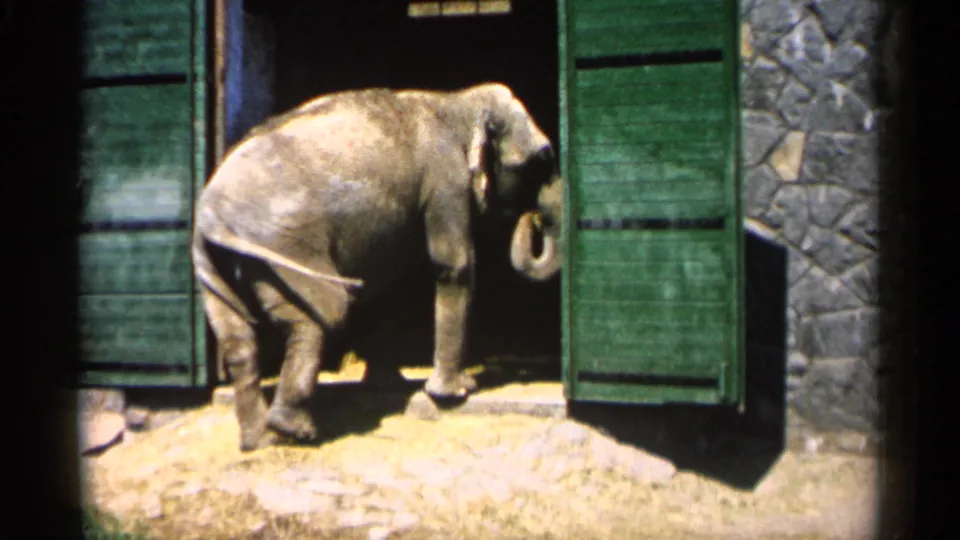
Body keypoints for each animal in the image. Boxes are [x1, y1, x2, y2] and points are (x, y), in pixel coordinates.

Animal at [192, 83, 564, 451]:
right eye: (542, 159)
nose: (531, 220)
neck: (456, 101)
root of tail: (212, 217)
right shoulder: (446, 178)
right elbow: (453, 263)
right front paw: (457, 390)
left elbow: (387, 284)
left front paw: (388, 384)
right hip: (284, 249)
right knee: (323, 315)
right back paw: (296, 430)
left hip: (213, 265)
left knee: (238, 341)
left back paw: (259, 441)